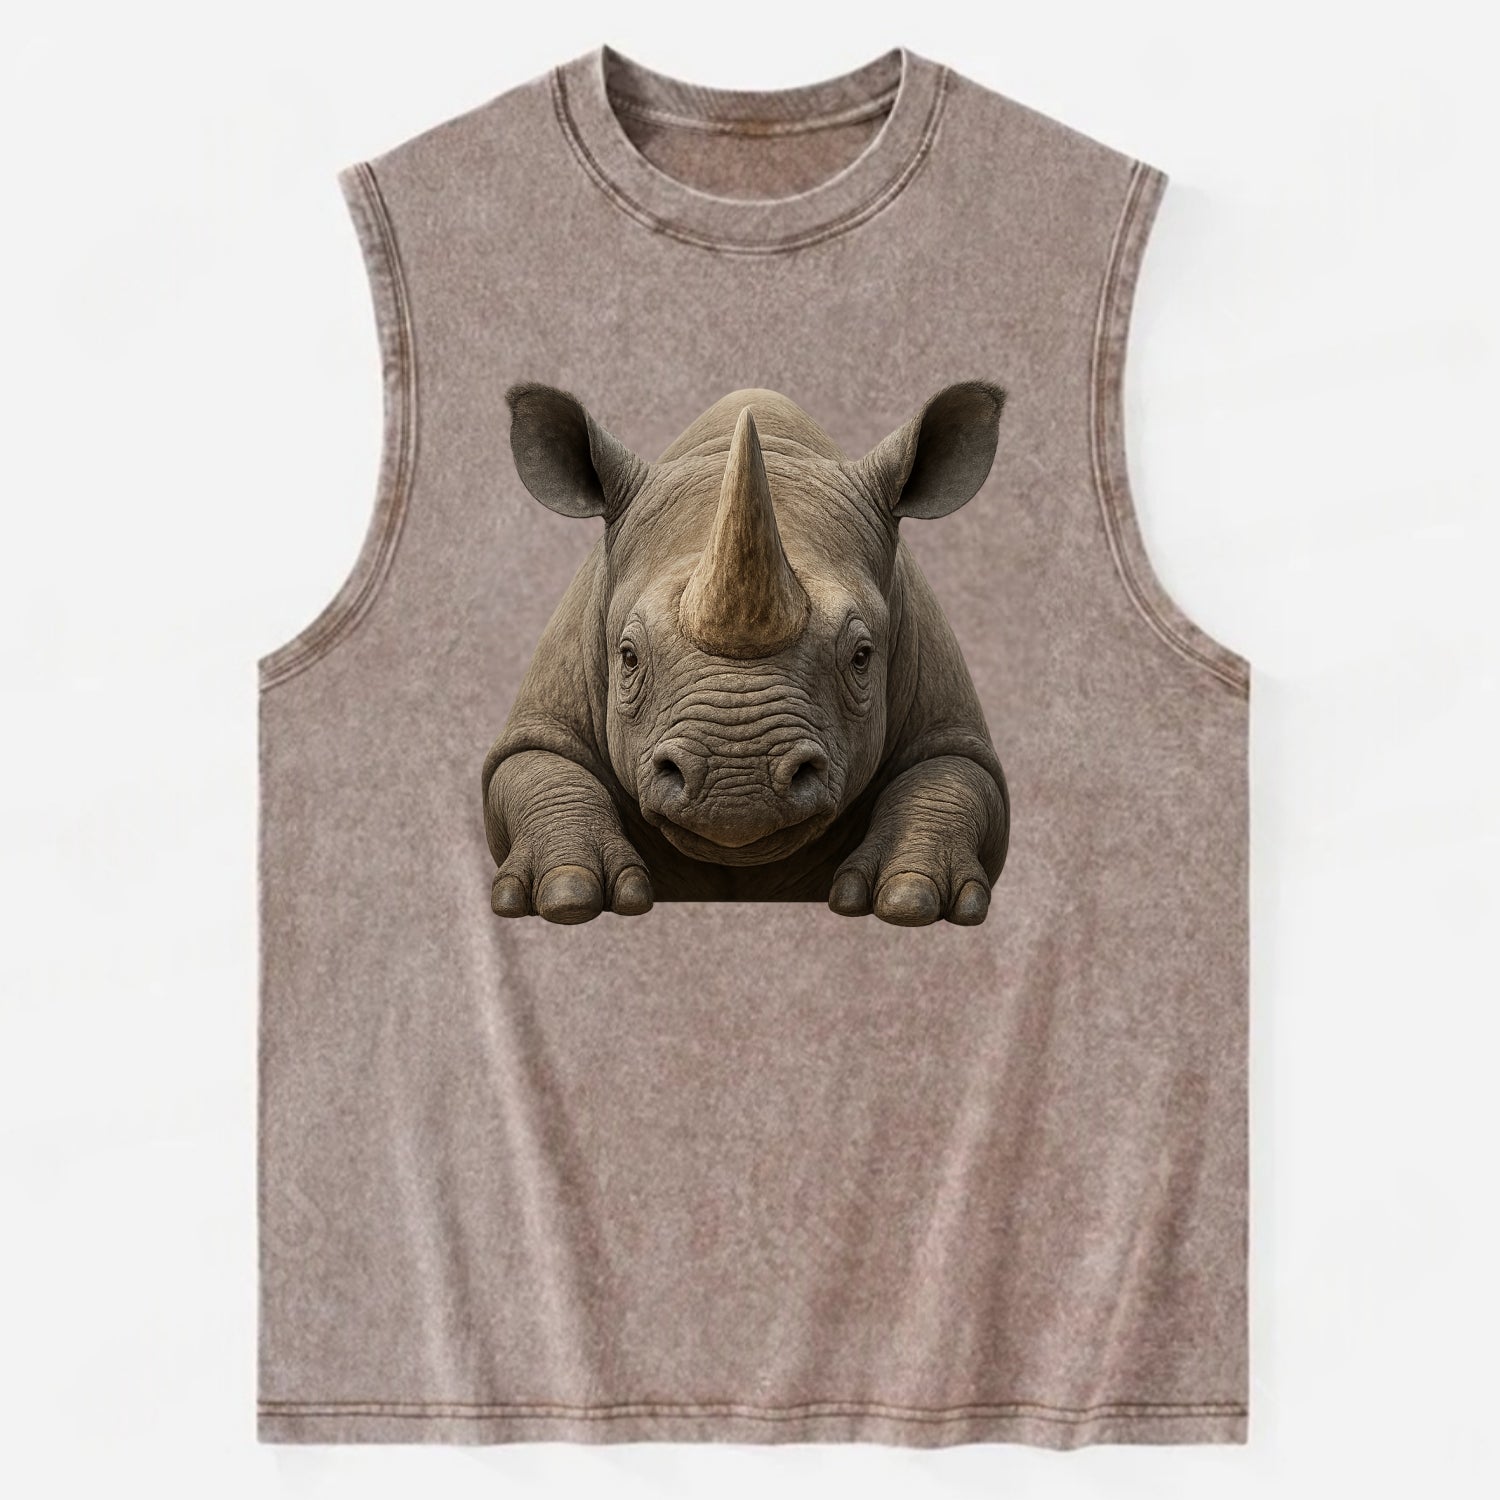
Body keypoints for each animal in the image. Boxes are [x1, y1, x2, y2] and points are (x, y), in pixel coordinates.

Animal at [482, 381, 1010, 926]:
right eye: (628, 657)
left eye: (862, 657)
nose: (737, 786)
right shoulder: (545, 716)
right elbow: (537, 765)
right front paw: (567, 895)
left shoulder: (947, 718)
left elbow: (951, 775)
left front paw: (911, 899)